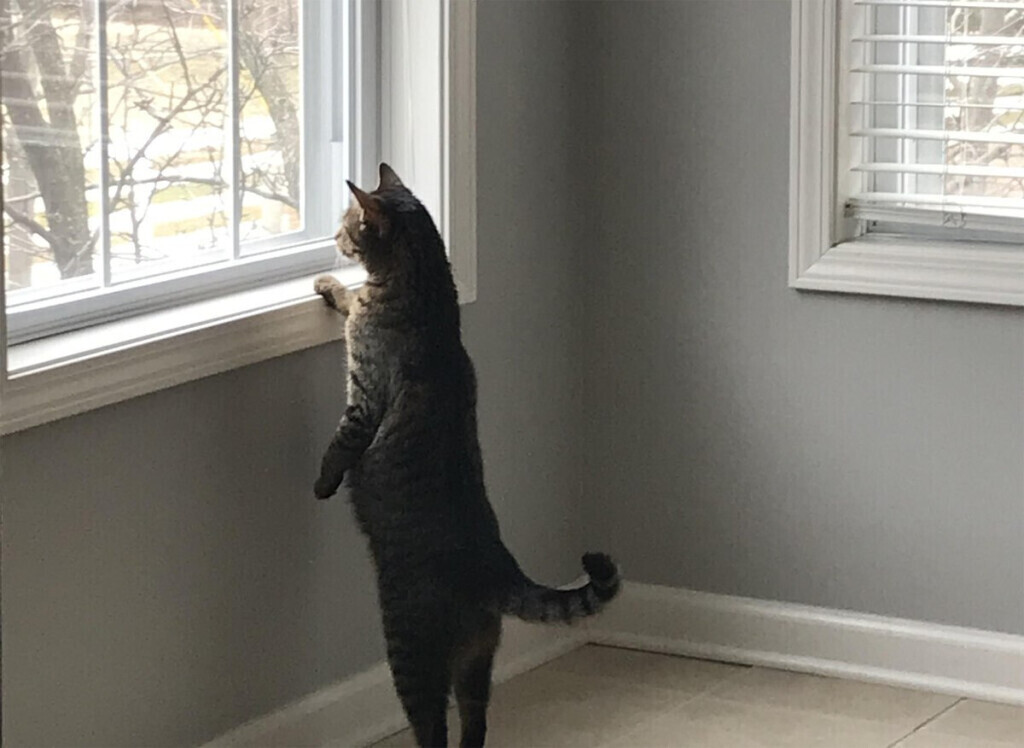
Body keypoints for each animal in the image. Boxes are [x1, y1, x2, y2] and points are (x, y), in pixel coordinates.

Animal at [313, 163, 620, 748]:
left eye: (347, 222)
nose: (332, 238)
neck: (427, 289)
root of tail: (496, 568)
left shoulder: (363, 397)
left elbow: (340, 443)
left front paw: (321, 484)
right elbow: (348, 297)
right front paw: (328, 285)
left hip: (410, 652)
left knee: (433, 730)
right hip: (477, 661)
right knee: (476, 725)